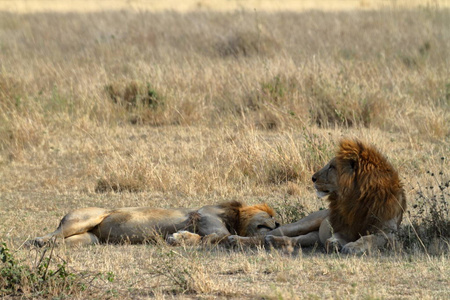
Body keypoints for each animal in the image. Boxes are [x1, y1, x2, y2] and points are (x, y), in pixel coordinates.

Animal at [232, 139, 408, 254]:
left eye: (332, 167)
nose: (313, 178)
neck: (358, 198)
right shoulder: (343, 227)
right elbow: (337, 237)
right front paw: (336, 244)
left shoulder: (389, 234)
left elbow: (369, 238)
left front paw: (353, 246)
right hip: (302, 223)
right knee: (268, 234)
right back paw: (235, 239)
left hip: (312, 236)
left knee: (295, 239)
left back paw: (273, 242)